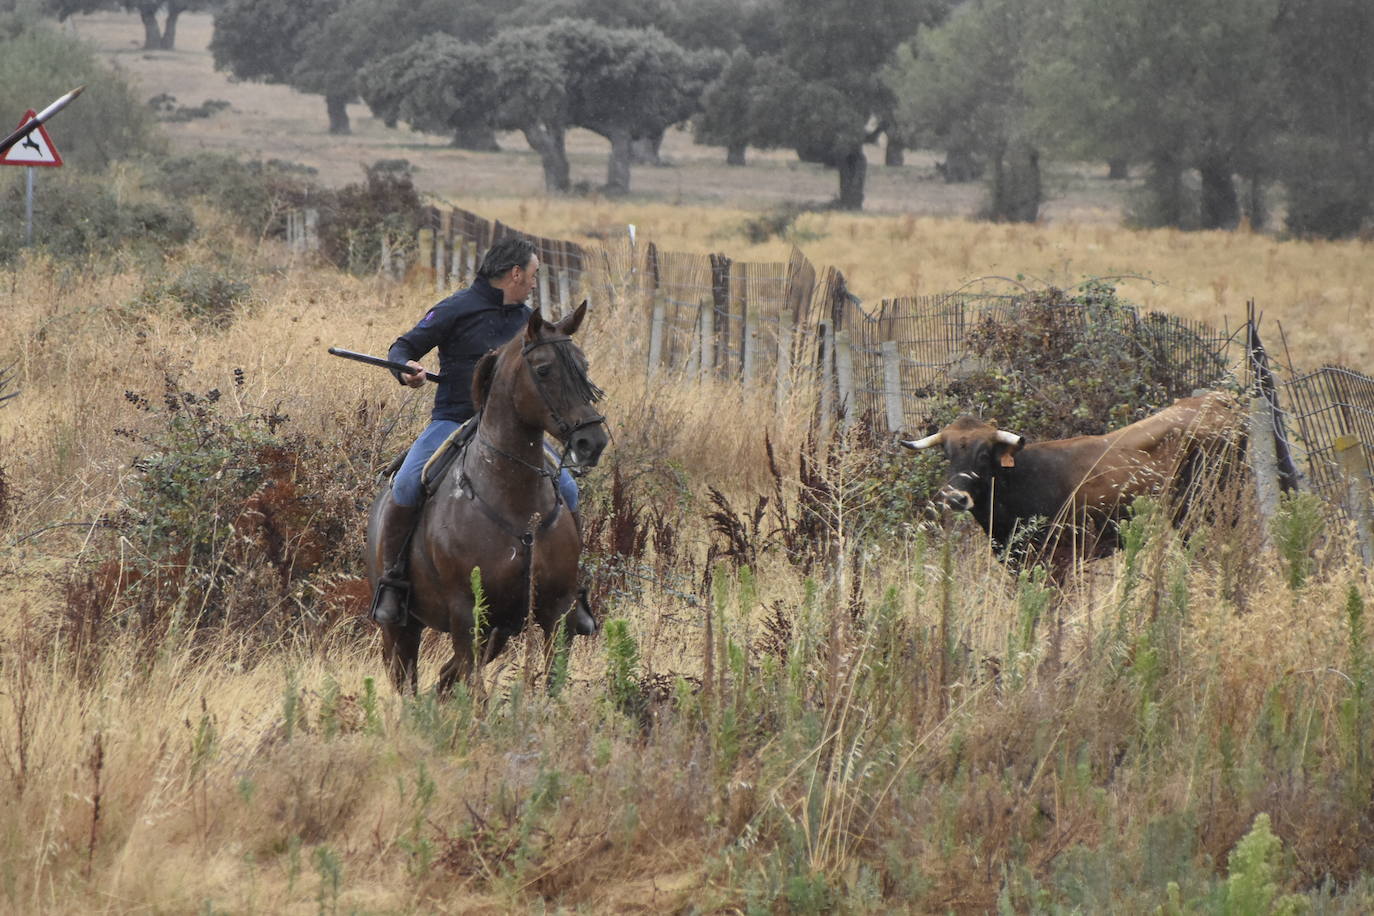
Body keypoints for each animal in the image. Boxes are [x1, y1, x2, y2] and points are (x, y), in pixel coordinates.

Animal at [365, 302, 607, 694]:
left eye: (583, 365)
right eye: (544, 369)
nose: (592, 442)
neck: (515, 501)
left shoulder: (557, 610)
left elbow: (553, 680)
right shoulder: (467, 615)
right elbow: (476, 693)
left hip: (499, 633)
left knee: (444, 680)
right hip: (400, 627)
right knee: (408, 681)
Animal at [901, 395, 1247, 574]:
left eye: (984, 454)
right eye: (946, 455)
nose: (955, 498)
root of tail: (1216, 401)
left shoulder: (1059, 562)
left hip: (1209, 513)